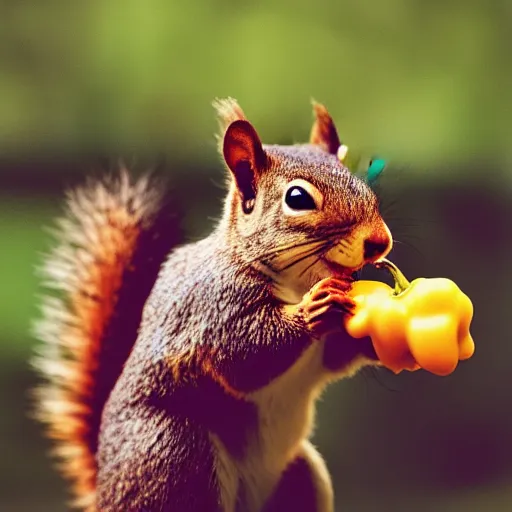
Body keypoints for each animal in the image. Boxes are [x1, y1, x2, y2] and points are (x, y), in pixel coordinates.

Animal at [33, 98, 392, 510]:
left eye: (361, 181)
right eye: (297, 199)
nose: (379, 242)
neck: (295, 282)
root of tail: (106, 492)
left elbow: (335, 354)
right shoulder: (213, 306)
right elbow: (242, 357)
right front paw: (312, 309)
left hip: (299, 476)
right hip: (175, 453)